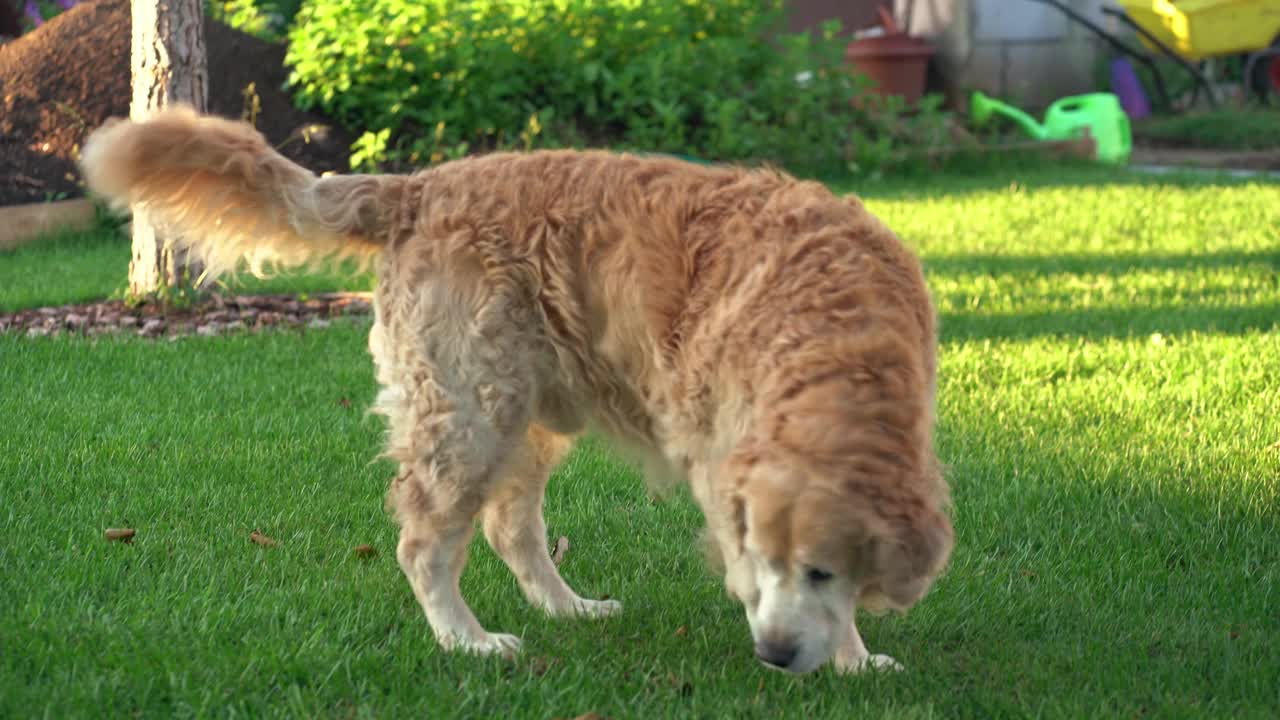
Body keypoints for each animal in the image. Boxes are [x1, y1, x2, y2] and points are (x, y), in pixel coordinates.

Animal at [80, 107, 952, 671]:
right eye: (765, 560)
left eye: (823, 572)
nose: (773, 654)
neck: (831, 336)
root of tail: (417, 188)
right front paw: (848, 656)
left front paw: (852, 654)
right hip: (472, 413)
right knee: (425, 542)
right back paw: (469, 643)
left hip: (529, 416)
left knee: (510, 528)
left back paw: (569, 610)